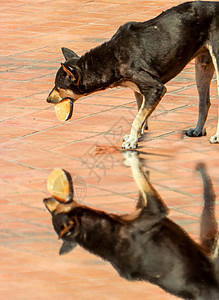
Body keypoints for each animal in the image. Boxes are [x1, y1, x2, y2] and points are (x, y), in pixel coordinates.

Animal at [44, 152, 219, 300]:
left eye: (54, 211)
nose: (45, 200)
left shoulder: (142, 207)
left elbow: (141, 182)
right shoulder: (156, 210)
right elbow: (139, 176)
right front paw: (132, 157)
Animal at [47, 1, 219, 149]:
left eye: (58, 87)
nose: (47, 100)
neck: (112, 56)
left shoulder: (155, 88)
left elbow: (137, 119)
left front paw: (131, 141)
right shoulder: (139, 90)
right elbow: (140, 114)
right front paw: (136, 137)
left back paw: (216, 137)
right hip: (202, 68)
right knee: (204, 102)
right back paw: (198, 130)